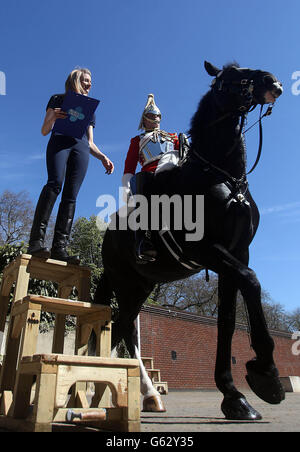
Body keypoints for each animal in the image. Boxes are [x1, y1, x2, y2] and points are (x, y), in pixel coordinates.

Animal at [95, 61, 284, 420]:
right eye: (228, 79)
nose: (272, 81)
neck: (223, 176)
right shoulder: (209, 250)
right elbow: (252, 283)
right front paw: (265, 373)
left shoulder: (236, 254)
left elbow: (227, 321)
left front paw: (234, 396)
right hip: (126, 282)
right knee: (123, 326)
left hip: (142, 284)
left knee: (121, 326)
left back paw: (120, 392)